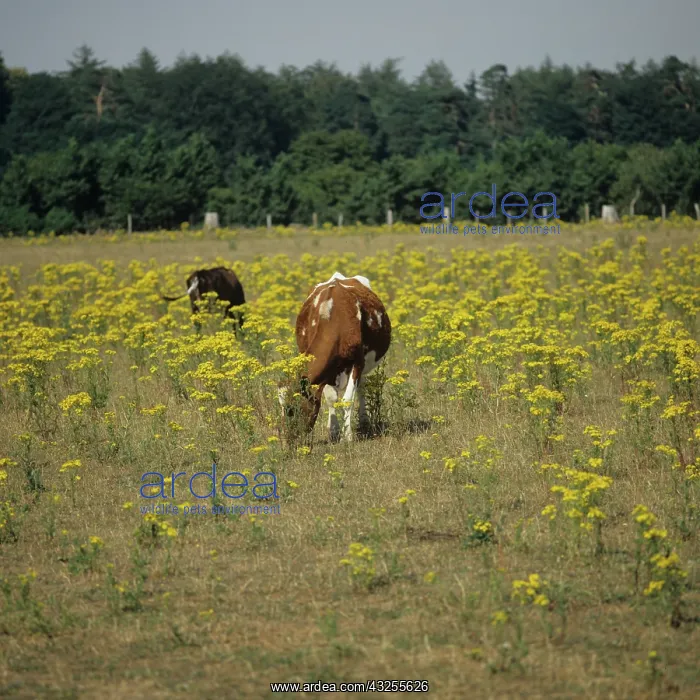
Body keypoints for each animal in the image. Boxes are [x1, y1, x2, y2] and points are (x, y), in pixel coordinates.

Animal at [278, 271, 391, 443]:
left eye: (292, 409)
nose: (287, 441)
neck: (333, 318)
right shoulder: (327, 371)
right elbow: (331, 399)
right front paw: (333, 431)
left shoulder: (358, 362)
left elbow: (347, 399)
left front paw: (348, 436)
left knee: (361, 387)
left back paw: (364, 421)